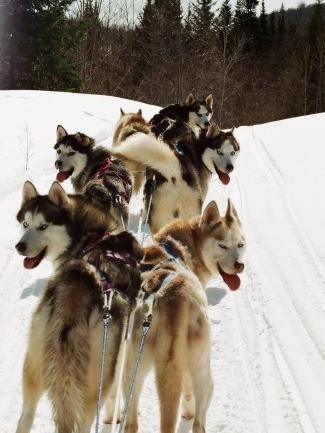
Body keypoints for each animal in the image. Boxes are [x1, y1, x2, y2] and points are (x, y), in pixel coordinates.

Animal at [13, 181, 143, 432]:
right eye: (25, 224)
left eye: (43, 226)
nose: (20, 246)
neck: (96, 237)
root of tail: (72, 299)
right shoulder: (122, 345)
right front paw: (113, 418)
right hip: (96, 380)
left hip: (32, 364)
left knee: (25, 416)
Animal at [124, 200, 246, 432]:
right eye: (222, 246)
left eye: (240, 245)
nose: (239, 266)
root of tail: (174, 299)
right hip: (203, 371)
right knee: (198, 420)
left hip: (133, 366)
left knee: (131, 419)